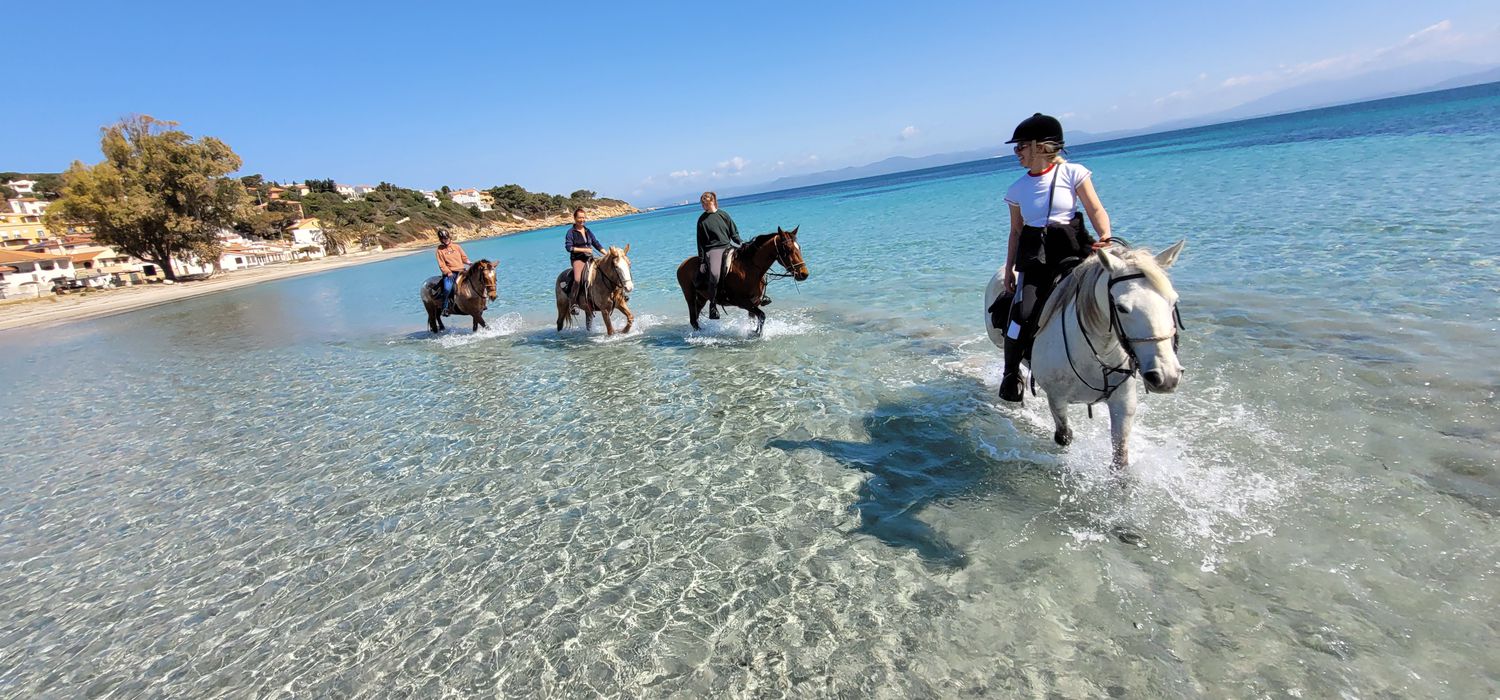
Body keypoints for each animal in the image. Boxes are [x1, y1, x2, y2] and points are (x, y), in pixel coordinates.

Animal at [675, 224, 810, 334]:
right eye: (788, 249)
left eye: (799, 247)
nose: (804, 274)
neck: (749, 269)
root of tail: (682, 264)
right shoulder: (742, 302)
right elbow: (762, 316)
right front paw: (756, 334)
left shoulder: (754, 302)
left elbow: (754, 319)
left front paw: (753, 331)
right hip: (690, 297)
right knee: (693, 319)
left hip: (702, 298)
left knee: (696, 317)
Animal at [984, 242, 1182, 470]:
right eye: (1122, 308)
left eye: (1173, 301)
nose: (1166, 377)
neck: (1094, 353)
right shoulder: (1057, 399)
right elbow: (1064, 436)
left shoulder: (1123, 403)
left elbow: (1120, 457)